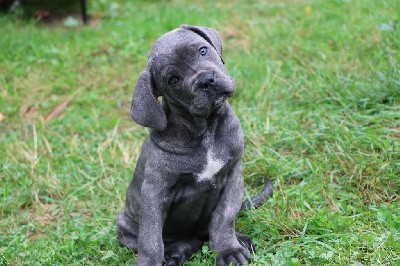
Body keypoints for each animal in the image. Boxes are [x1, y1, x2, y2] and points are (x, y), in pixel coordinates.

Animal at [115, 25, 272, 266]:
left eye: (203, 50)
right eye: (172, 79)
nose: (206, 80)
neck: (204, 128)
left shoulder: (233, 177)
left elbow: (224, 218)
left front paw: (228, 249)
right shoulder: (154, 193)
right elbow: (151, 240)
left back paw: (240, 240)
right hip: (124, 225)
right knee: (178, 241)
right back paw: (177, 252)